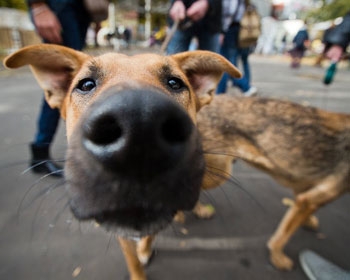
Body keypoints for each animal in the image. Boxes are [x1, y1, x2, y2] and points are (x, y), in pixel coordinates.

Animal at [4, 43, 241, 280]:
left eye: (175, 83)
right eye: (86, 84)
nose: (140, 122)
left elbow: (150, 234)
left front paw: (145, 248)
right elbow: (133, 260)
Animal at [197, 94, 350, 272]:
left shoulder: (305, 191)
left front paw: (308, 221)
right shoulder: (308, 199)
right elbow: (283, 236)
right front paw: (277, 257)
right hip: (219, 173)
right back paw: (197, 211)